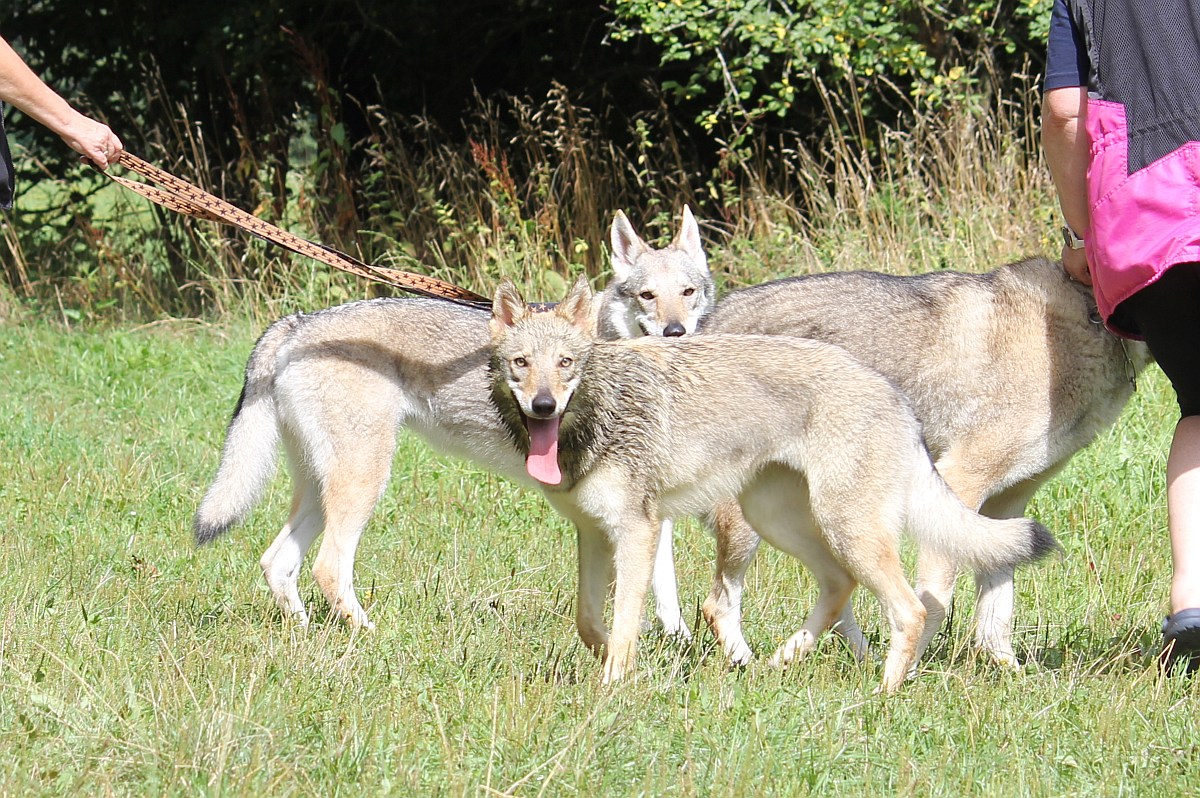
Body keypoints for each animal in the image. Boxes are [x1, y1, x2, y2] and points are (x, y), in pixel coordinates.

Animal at [189, 208, 710, 633]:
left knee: (277, 562)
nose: (676, 332)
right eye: (646, 296)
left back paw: (304, 634)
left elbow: (662, 586)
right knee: (328, 568)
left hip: (322, 490)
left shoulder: (647, 500)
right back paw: (370, 635)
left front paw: (676, 639)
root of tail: (297, 322)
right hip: (363, 481)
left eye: (688, 293)